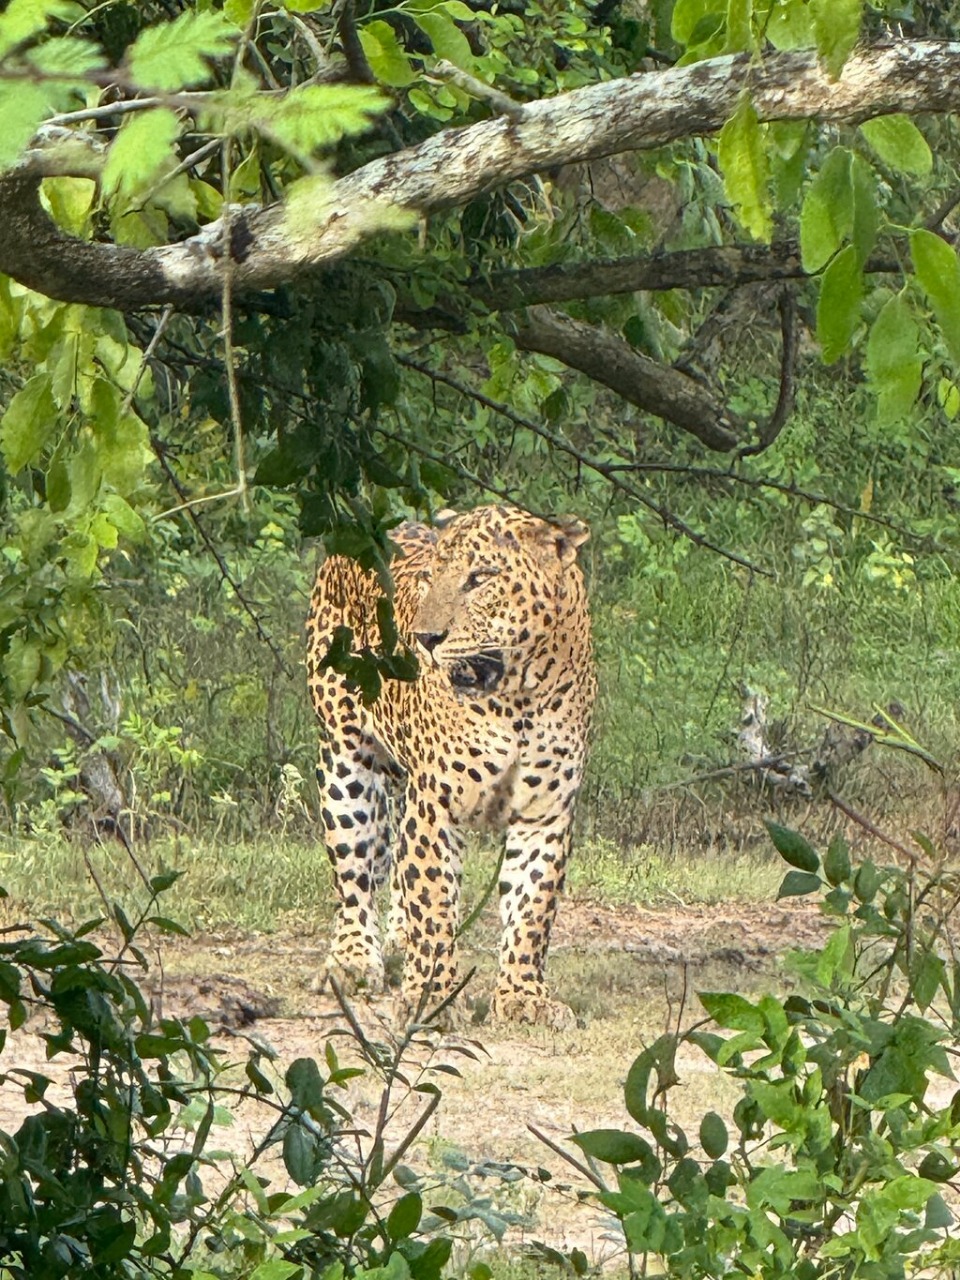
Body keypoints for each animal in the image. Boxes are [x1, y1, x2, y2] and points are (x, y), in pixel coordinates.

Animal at [305, 505, 596, 1026]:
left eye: (480, 579)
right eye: (430, 578)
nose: (425, 638)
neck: (517, 695)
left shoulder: (545, 814)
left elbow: (532, 909)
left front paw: (523, 996)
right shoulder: (436, 807)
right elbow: (434, 903)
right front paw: (431, 997)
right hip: (344, 758)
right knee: (355, 875)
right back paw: (353, 959)